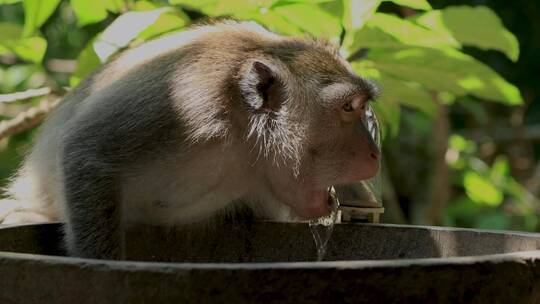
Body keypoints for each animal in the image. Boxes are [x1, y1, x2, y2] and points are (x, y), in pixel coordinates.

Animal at [1, 20, 380, 258]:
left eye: (363, 107)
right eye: (348, 107)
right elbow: (87, 152)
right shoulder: (185, 104)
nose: (375, 153)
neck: (244, 144)